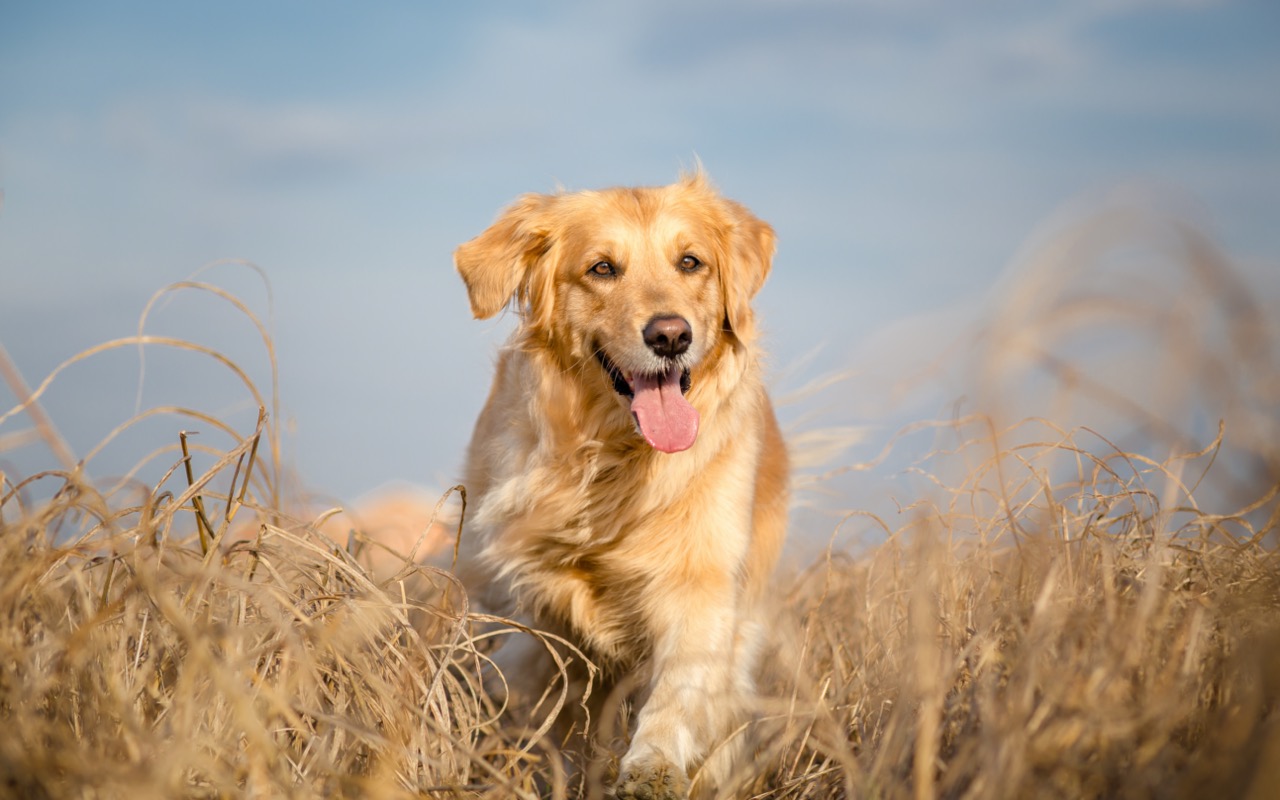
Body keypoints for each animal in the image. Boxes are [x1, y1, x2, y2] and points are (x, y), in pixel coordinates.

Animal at [450, 171, 788, 793]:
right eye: (602, 268)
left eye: (690, 262)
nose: (671, 336)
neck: (616, 457)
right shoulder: (536, 597)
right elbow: (548, 693)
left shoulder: (702, 580)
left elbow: (680, 686)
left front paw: (653, 765)